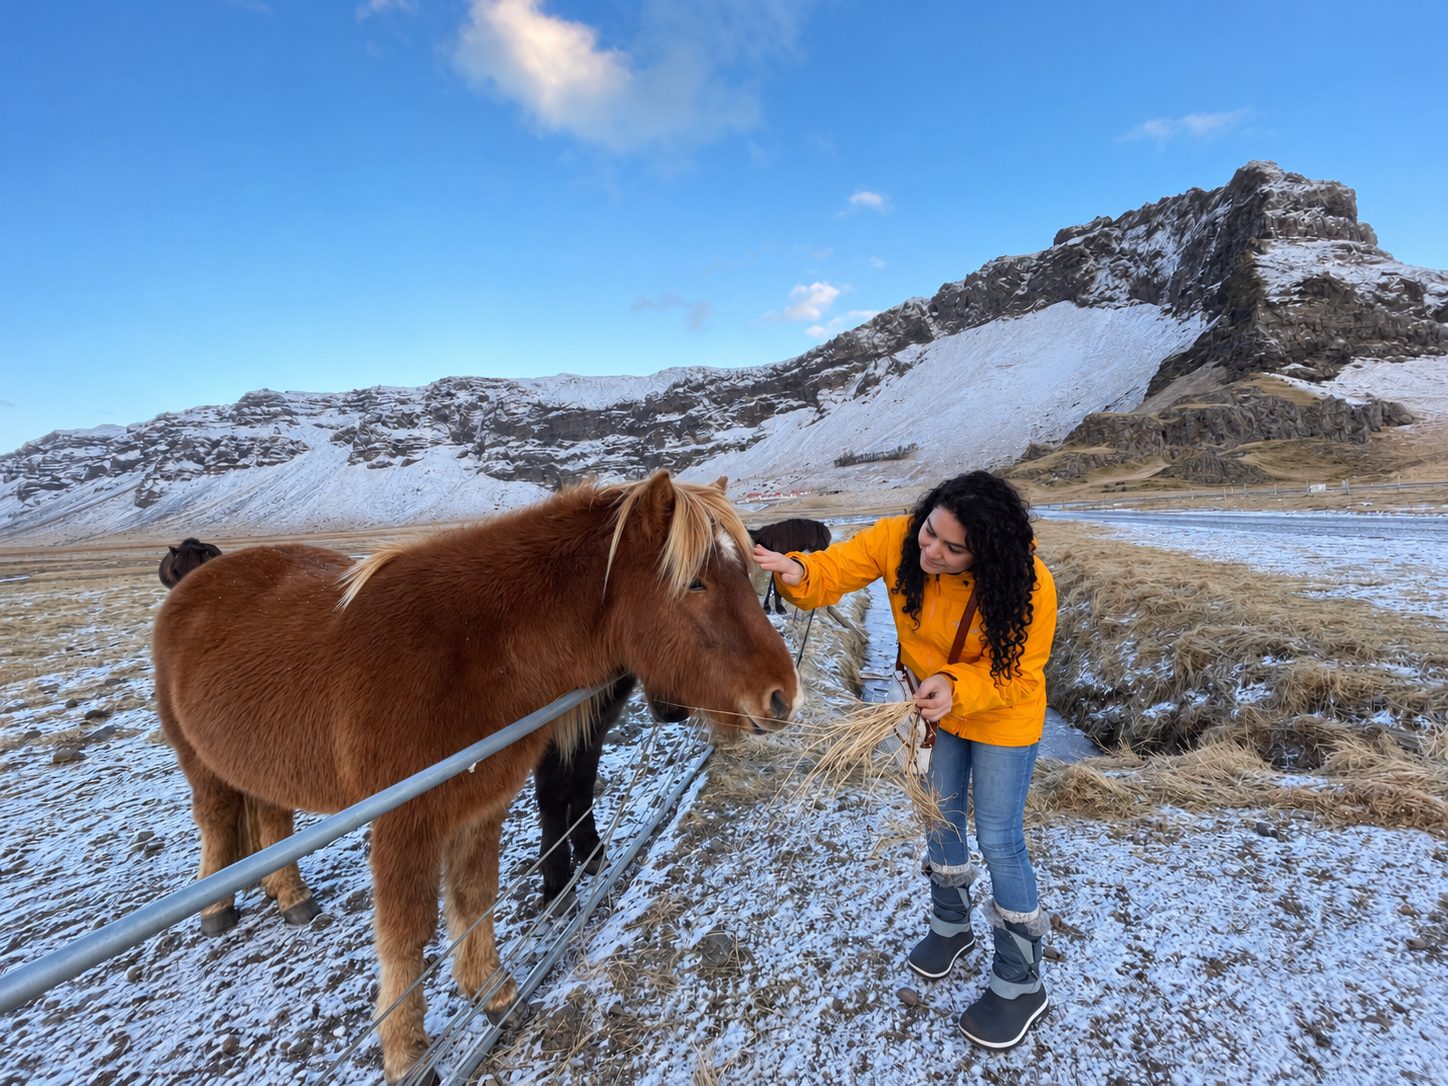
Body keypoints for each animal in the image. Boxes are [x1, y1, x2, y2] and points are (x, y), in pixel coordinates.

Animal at [152, 471, 799, 1083]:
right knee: (217, 818)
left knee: (271, 816)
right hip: (200, 761)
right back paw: (218, 909)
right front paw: (408, 1056)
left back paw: (290, 895)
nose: (782, 695)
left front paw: (493, 993)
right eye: (696, 583)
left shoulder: (481, 805)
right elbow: (406, 936)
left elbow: (475, 896)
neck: (466, 650)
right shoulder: (404, 822)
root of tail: (192, 589)